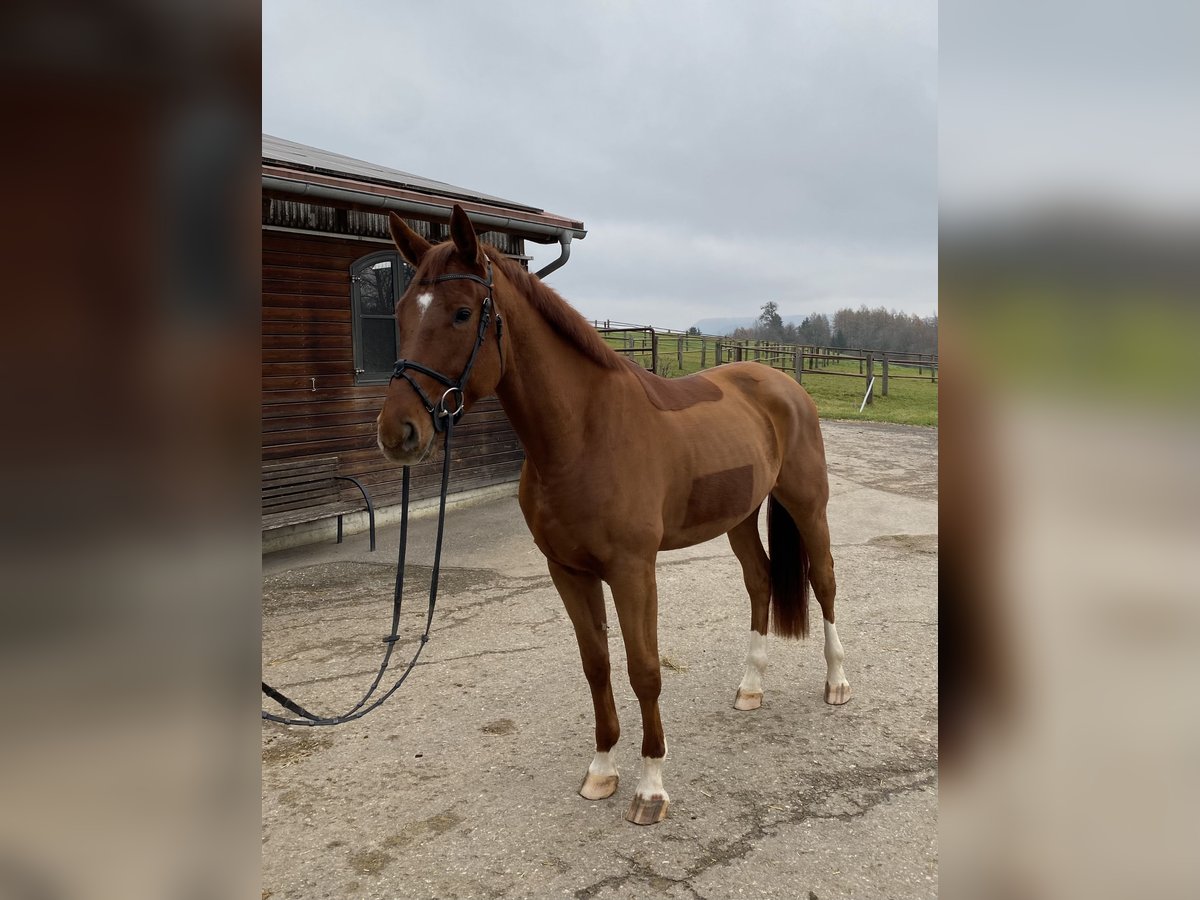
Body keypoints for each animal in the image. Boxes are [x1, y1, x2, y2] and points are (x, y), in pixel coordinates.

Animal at [379, 207, 849, 830]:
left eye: (460, 313)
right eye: (403, 313)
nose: (397, 432)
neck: (581, 435)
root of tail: (782, 383)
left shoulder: (633, 571)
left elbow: (643, 669)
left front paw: (651, 787)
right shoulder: (568, 572)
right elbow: (596, 665)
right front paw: (602, 769)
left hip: (807, 504)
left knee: (824, 582)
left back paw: (837, 682)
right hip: (740, 517)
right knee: (761, 580)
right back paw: (750, 688)